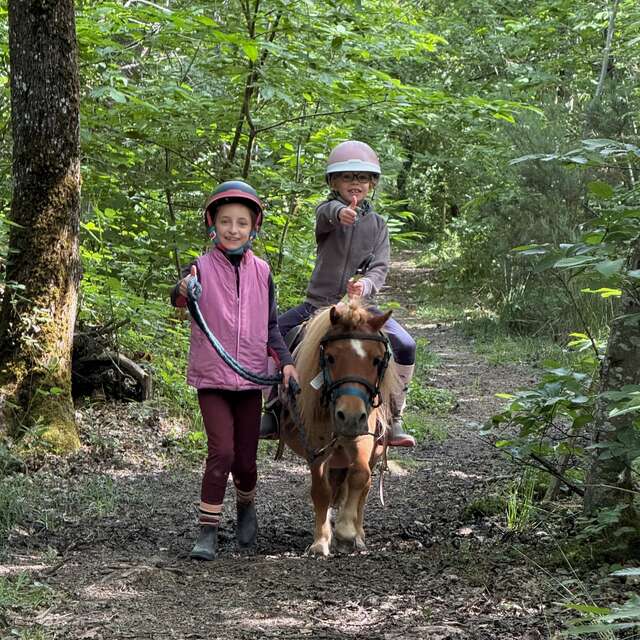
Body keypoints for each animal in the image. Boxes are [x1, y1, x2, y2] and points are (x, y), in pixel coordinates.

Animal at [278, 300, 398, 556]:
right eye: (330, 358)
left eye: (376, 360)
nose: (350, 416)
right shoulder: (316, 448)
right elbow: (321, 490)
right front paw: (321, 540)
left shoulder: (364, 438)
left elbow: (360, 476)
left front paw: (346, 531)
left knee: (366, 486)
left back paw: (359, 534)